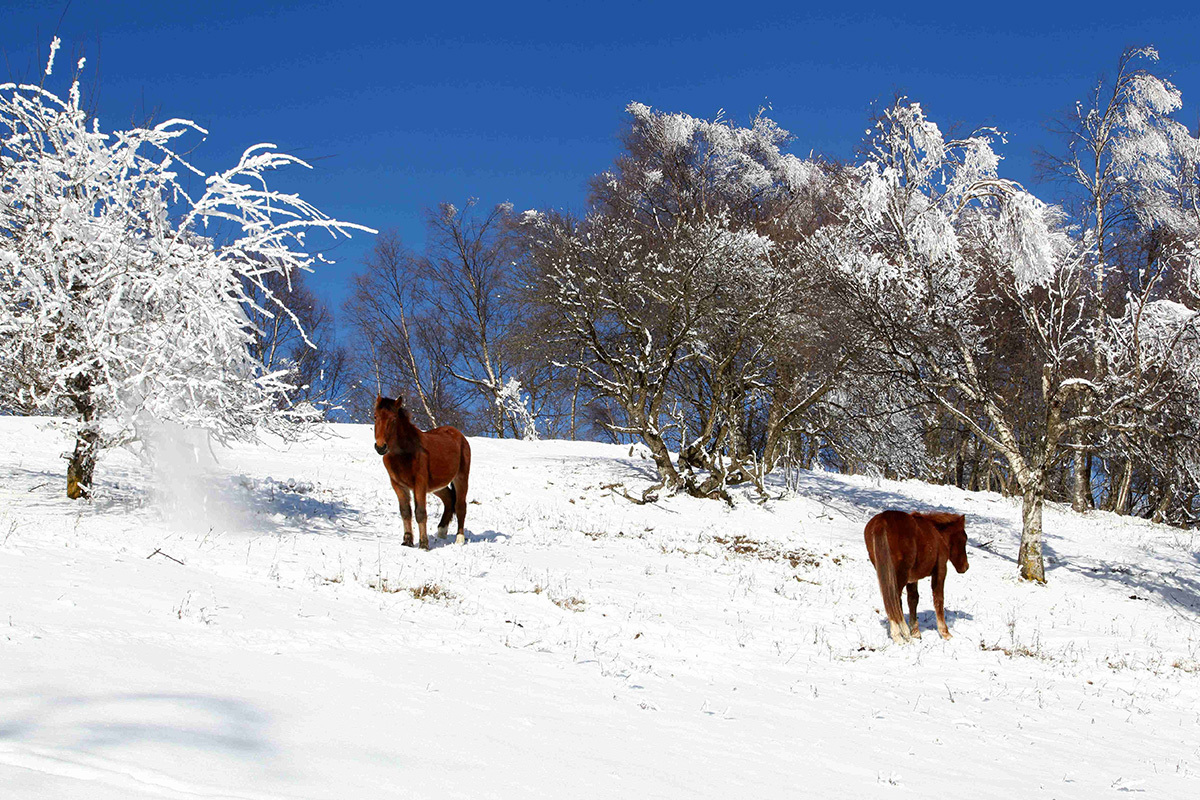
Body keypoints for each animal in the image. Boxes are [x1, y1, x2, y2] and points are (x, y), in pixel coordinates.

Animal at [372, 395, 470, 551]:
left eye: (393, 419)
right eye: (375, 416)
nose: (381, 447)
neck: (404, 453)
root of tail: (459, 435)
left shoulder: (419, 484)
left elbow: (420, 513)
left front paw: (423, 544)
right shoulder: (398, 485)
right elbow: (405, 512)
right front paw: (407, 541)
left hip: (461, 478)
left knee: (460, 506)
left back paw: (459, 538)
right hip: (438, 485)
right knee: (449, 499)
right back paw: (441, 531)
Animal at [864, 513, 964, 642]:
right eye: (964, 539)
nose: (965, 567)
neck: (938, 535)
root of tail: (881, 521)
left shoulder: (912, 579)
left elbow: (913, 600)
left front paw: (915, 632)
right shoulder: (941, 570)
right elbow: (938, 600)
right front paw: (945, 633)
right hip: (899, 576)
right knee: (894, 600)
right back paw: (900, 634)